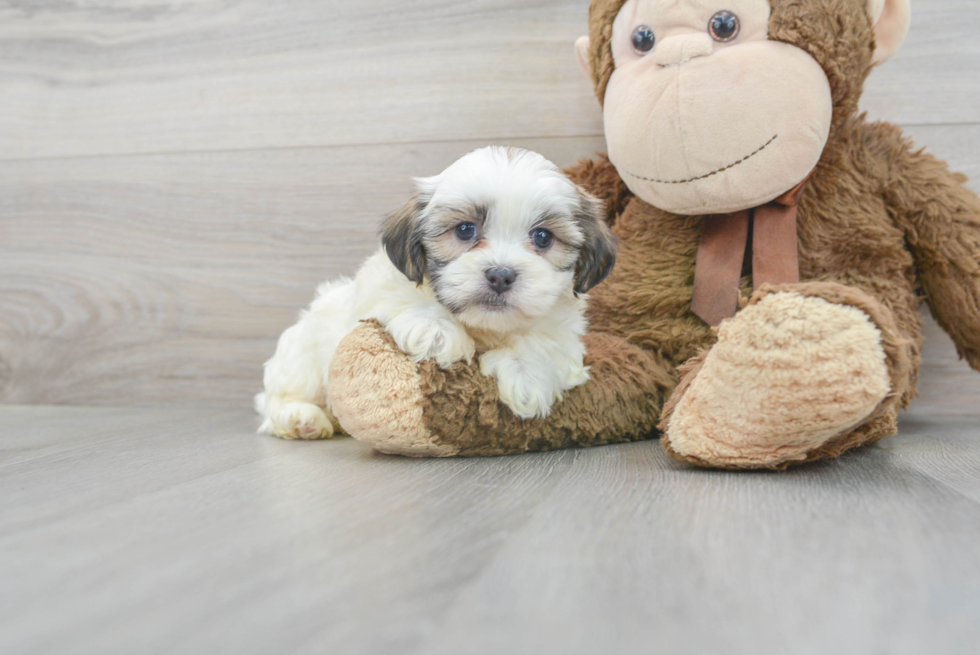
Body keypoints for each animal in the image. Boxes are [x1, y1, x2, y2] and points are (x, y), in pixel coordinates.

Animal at [256, 149, 616, 440]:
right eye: (465, 230)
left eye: (543, 237)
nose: (500, 275)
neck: (484, 328)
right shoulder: (381, 285)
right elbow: (405, 297)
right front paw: (436, 330)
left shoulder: (564, 334)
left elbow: (544, 345)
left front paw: (525, 374)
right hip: (303, 359)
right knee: (278, 399)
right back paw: (302, 418)